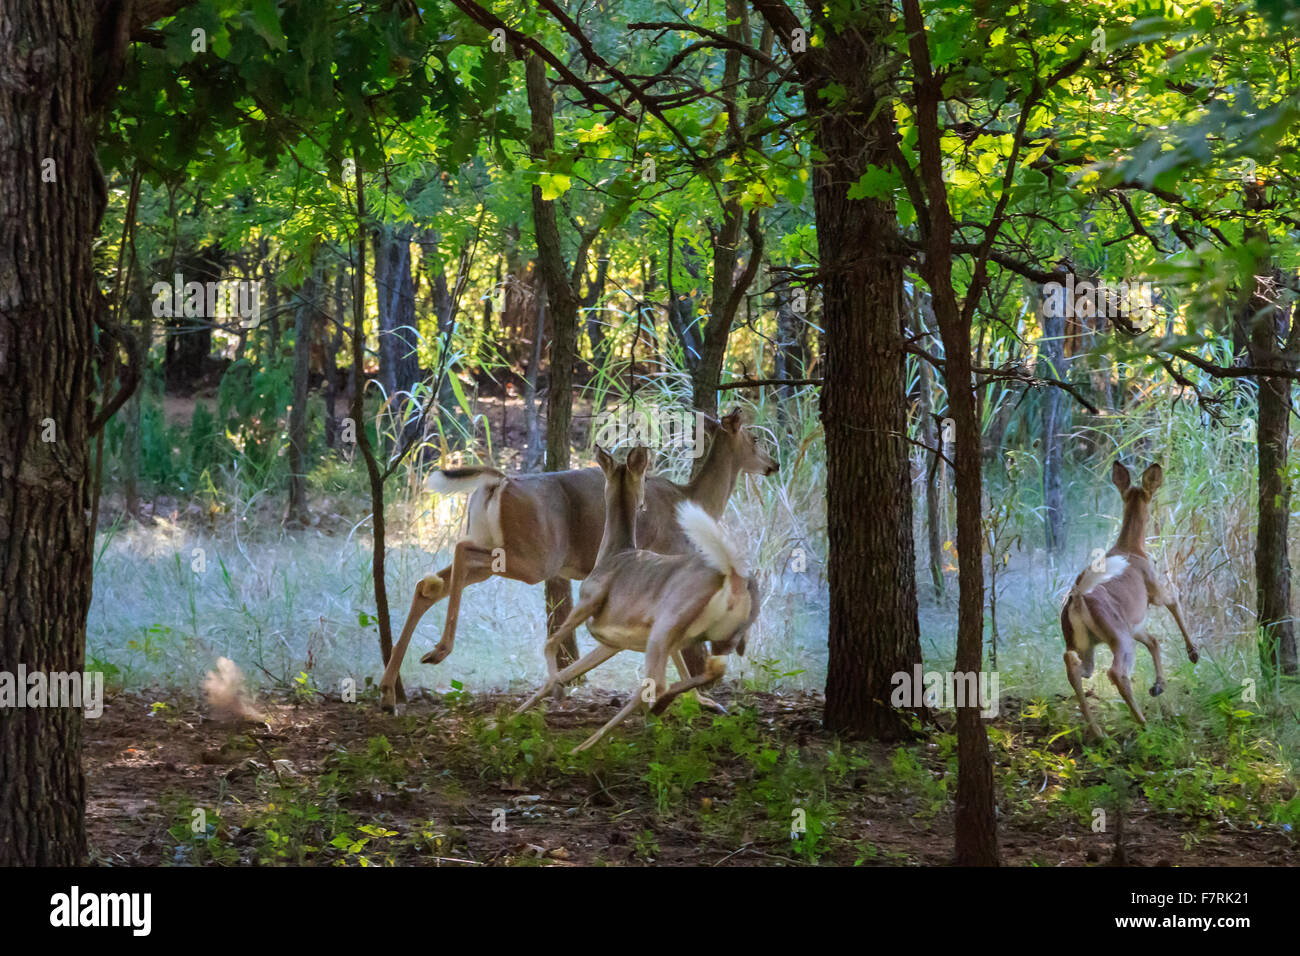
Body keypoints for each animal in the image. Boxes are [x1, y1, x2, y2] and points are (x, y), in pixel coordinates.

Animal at [378, 408, 776, 712]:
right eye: (755, 439)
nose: (773, 464)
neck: (695, 499)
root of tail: (498, 483)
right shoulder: (668, 567)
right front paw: (699, 700)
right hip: (534, 557)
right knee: (458, 555)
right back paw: (439, 652)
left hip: (495, 547)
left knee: (429, 583)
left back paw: (391, 689)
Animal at [514, 444, 758, 753]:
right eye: (644, 478)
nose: (644, 504)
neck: (613, 552)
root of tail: (733, 579)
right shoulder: (613, 642)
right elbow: (565, 672)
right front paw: (502, 720)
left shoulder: (589, 600)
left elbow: (550, 645)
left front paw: (555, 692)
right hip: (717, 636)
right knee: (711, 670)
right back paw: (663, 707)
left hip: (665, 625)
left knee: (654, 685)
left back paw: (584, 745)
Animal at [1061, 461, 1199, 739]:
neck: (1131, 548)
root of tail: (1078, 601)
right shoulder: (1153, 588)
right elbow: (1174, 600)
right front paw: (1193, 653)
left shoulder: (1134, 621)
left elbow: (1153, 640)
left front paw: (1159, 685)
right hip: (1117, 633)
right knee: (1115, 672)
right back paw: (1143, 723)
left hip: (1087, 639)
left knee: (1076, 666)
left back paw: (1099, 732)